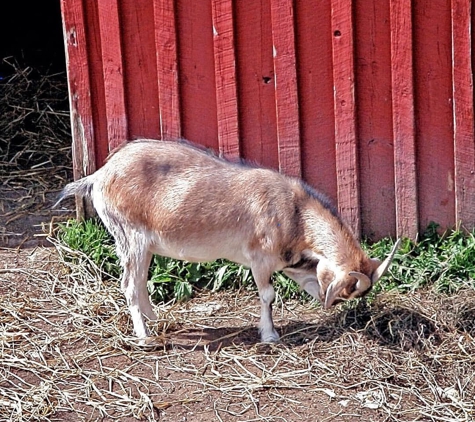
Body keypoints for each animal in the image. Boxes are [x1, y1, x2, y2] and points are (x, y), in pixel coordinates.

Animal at [54, 140, 400, 344]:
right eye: (347, 291)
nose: (337, 306)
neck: (296, 213)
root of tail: (98, 176)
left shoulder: (289, 261)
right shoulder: (260, 259)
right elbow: (268, 295)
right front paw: (270, 335)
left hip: (144, 245)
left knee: (139, 282)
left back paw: (155, 319)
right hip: (130, 237)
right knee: (128, 283)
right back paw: (145, 336)